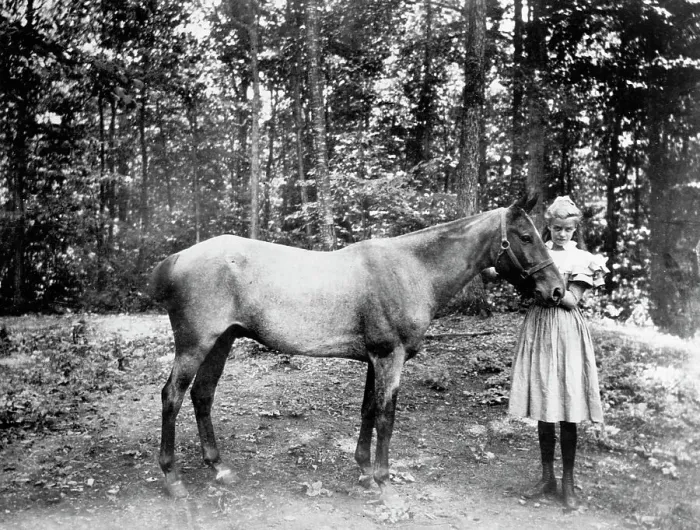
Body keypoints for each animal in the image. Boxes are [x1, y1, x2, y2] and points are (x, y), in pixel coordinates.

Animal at [148, 196, 565, 503]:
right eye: (525, 236)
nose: (557, 290)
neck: (412, 269)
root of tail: (177, 258)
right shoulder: (389, 358)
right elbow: (385, 417)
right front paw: (383, 482)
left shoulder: (373, 359)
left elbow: (367, 411)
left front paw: (364, 470)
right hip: (195, 344)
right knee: (173, 396)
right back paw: (173, 477)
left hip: (221, 342)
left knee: (202, 395)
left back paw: (218, 467)